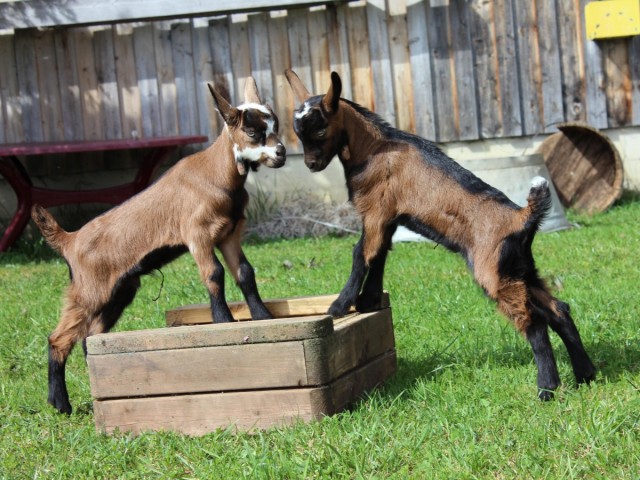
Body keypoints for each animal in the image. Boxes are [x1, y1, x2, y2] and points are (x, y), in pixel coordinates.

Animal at [31, 78, 286, 414]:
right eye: (253, 132)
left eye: (276, 125)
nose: (281, 153)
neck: (218, 173)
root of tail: (69, 239)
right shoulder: (198, 234)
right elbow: (214, 274)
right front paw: (223, 321)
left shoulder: (229, 235)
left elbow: (245, 272)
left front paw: (263, 317)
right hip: (89, 290)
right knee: (59, 338)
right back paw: (60, 403)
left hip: (120, 290)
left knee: (91, 337)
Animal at [285, 69, 596, 400]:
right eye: (297, 132)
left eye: (319, 130)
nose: (311, 164)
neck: (373, 147)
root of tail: (522, 217)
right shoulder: (388, 218)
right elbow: (380, 254)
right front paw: (368, 301)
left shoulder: (375, 210)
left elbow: (361, 254)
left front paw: (341, 305)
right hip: (520, 270)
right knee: (559, 311)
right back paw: (585, 375)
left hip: (494, 274)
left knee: (535, 323)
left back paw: (547, 389)